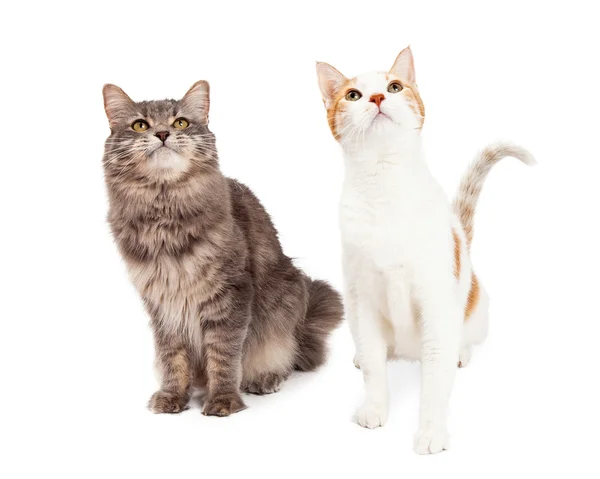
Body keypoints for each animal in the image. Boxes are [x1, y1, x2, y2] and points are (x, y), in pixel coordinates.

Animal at [103, 79, 342, 416]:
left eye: (181, 123)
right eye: (140, 125)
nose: (162, 134)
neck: (165, 214)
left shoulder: (229, 294)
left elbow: (224, 354)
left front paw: (223, 400)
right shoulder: (163, 304)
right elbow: (172, 357)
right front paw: (173, 395)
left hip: (285, 302)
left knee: (286, 354)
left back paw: (264, 378)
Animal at [316, 46, 536, 454]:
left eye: (394, 86)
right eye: (353, 95)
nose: (377, 97)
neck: (384, 183)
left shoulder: (435, 301)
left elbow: (435, 380)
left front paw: (432, 432)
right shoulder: (362, 299)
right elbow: (374, 368)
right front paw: (374, 408)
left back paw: (460, 353)